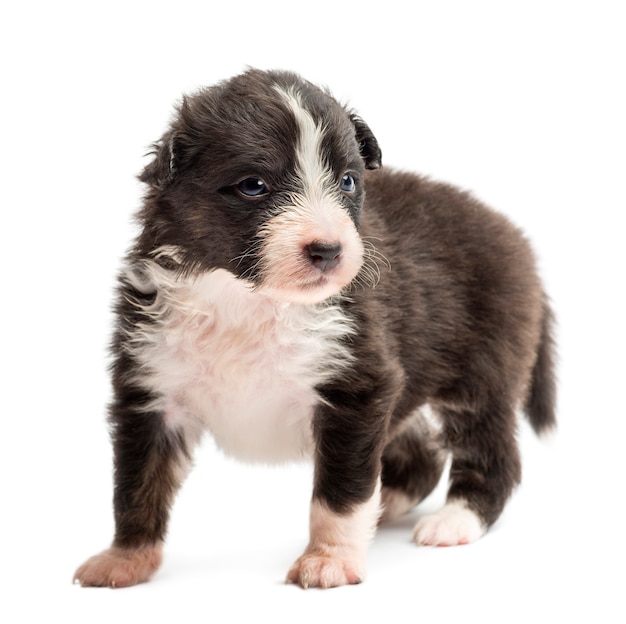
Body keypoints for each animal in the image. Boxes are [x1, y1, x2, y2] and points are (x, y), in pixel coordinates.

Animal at [74, 68, 556, 588]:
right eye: (253, 185)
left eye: (347, 180)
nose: (328, 250)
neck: (249, 301)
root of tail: (516, 239)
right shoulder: (151, 387)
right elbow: (137, 482)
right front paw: (125, 558)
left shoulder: (357, 387)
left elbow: (340, 490)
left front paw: (330, 559)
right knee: (422, 451)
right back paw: (387, 503)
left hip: (481, 372)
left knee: (492, 453)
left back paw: (454, 520)